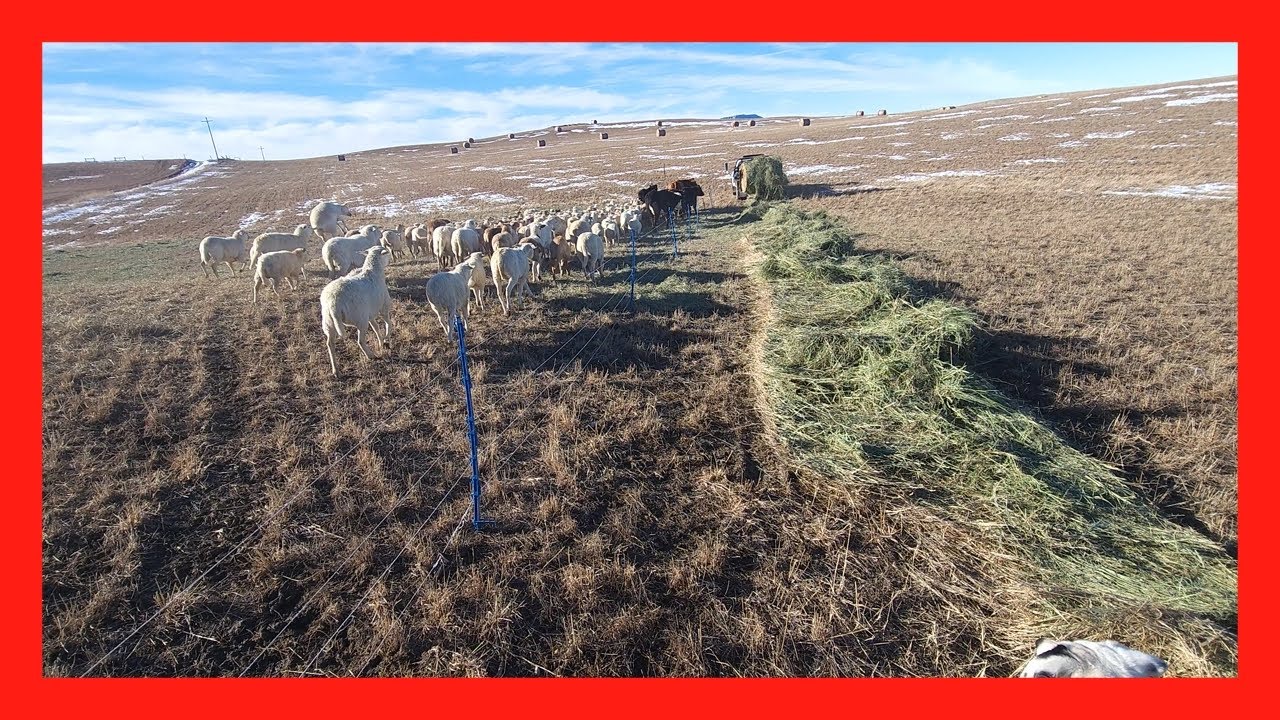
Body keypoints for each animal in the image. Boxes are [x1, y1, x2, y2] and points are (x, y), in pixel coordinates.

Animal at [319, 247, 393, 378]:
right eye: (385, 253)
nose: (390, 260)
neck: (372, 271)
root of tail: (333, 303)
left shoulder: (369, 314)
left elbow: (376, 327)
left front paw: (381, 341)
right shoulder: (383, 307)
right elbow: (388, 323)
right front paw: (386, 338)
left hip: (328, 323)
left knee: (330, 344)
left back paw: (336, 370)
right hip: (360, 319)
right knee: (360, 341)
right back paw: (370, 355)